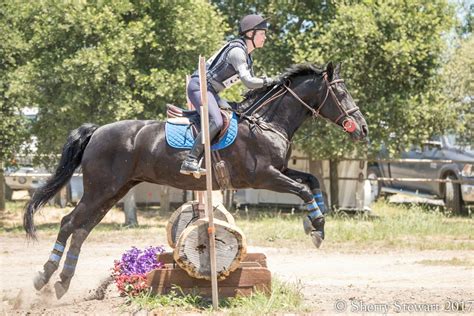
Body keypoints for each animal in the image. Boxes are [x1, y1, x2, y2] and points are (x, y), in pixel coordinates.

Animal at [24, 61, 368, 296]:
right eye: (341, 92)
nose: (362, 129)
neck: (266, 122)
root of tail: (96, 131)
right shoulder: (264, 177)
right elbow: (303, 190)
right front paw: (317, 227)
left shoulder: (280, 171)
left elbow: (312, 181)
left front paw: (314, 223)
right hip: (100, 188)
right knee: (69, 223)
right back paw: (44, 277)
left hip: (113, 191)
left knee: (82, 229)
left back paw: (62, 282)